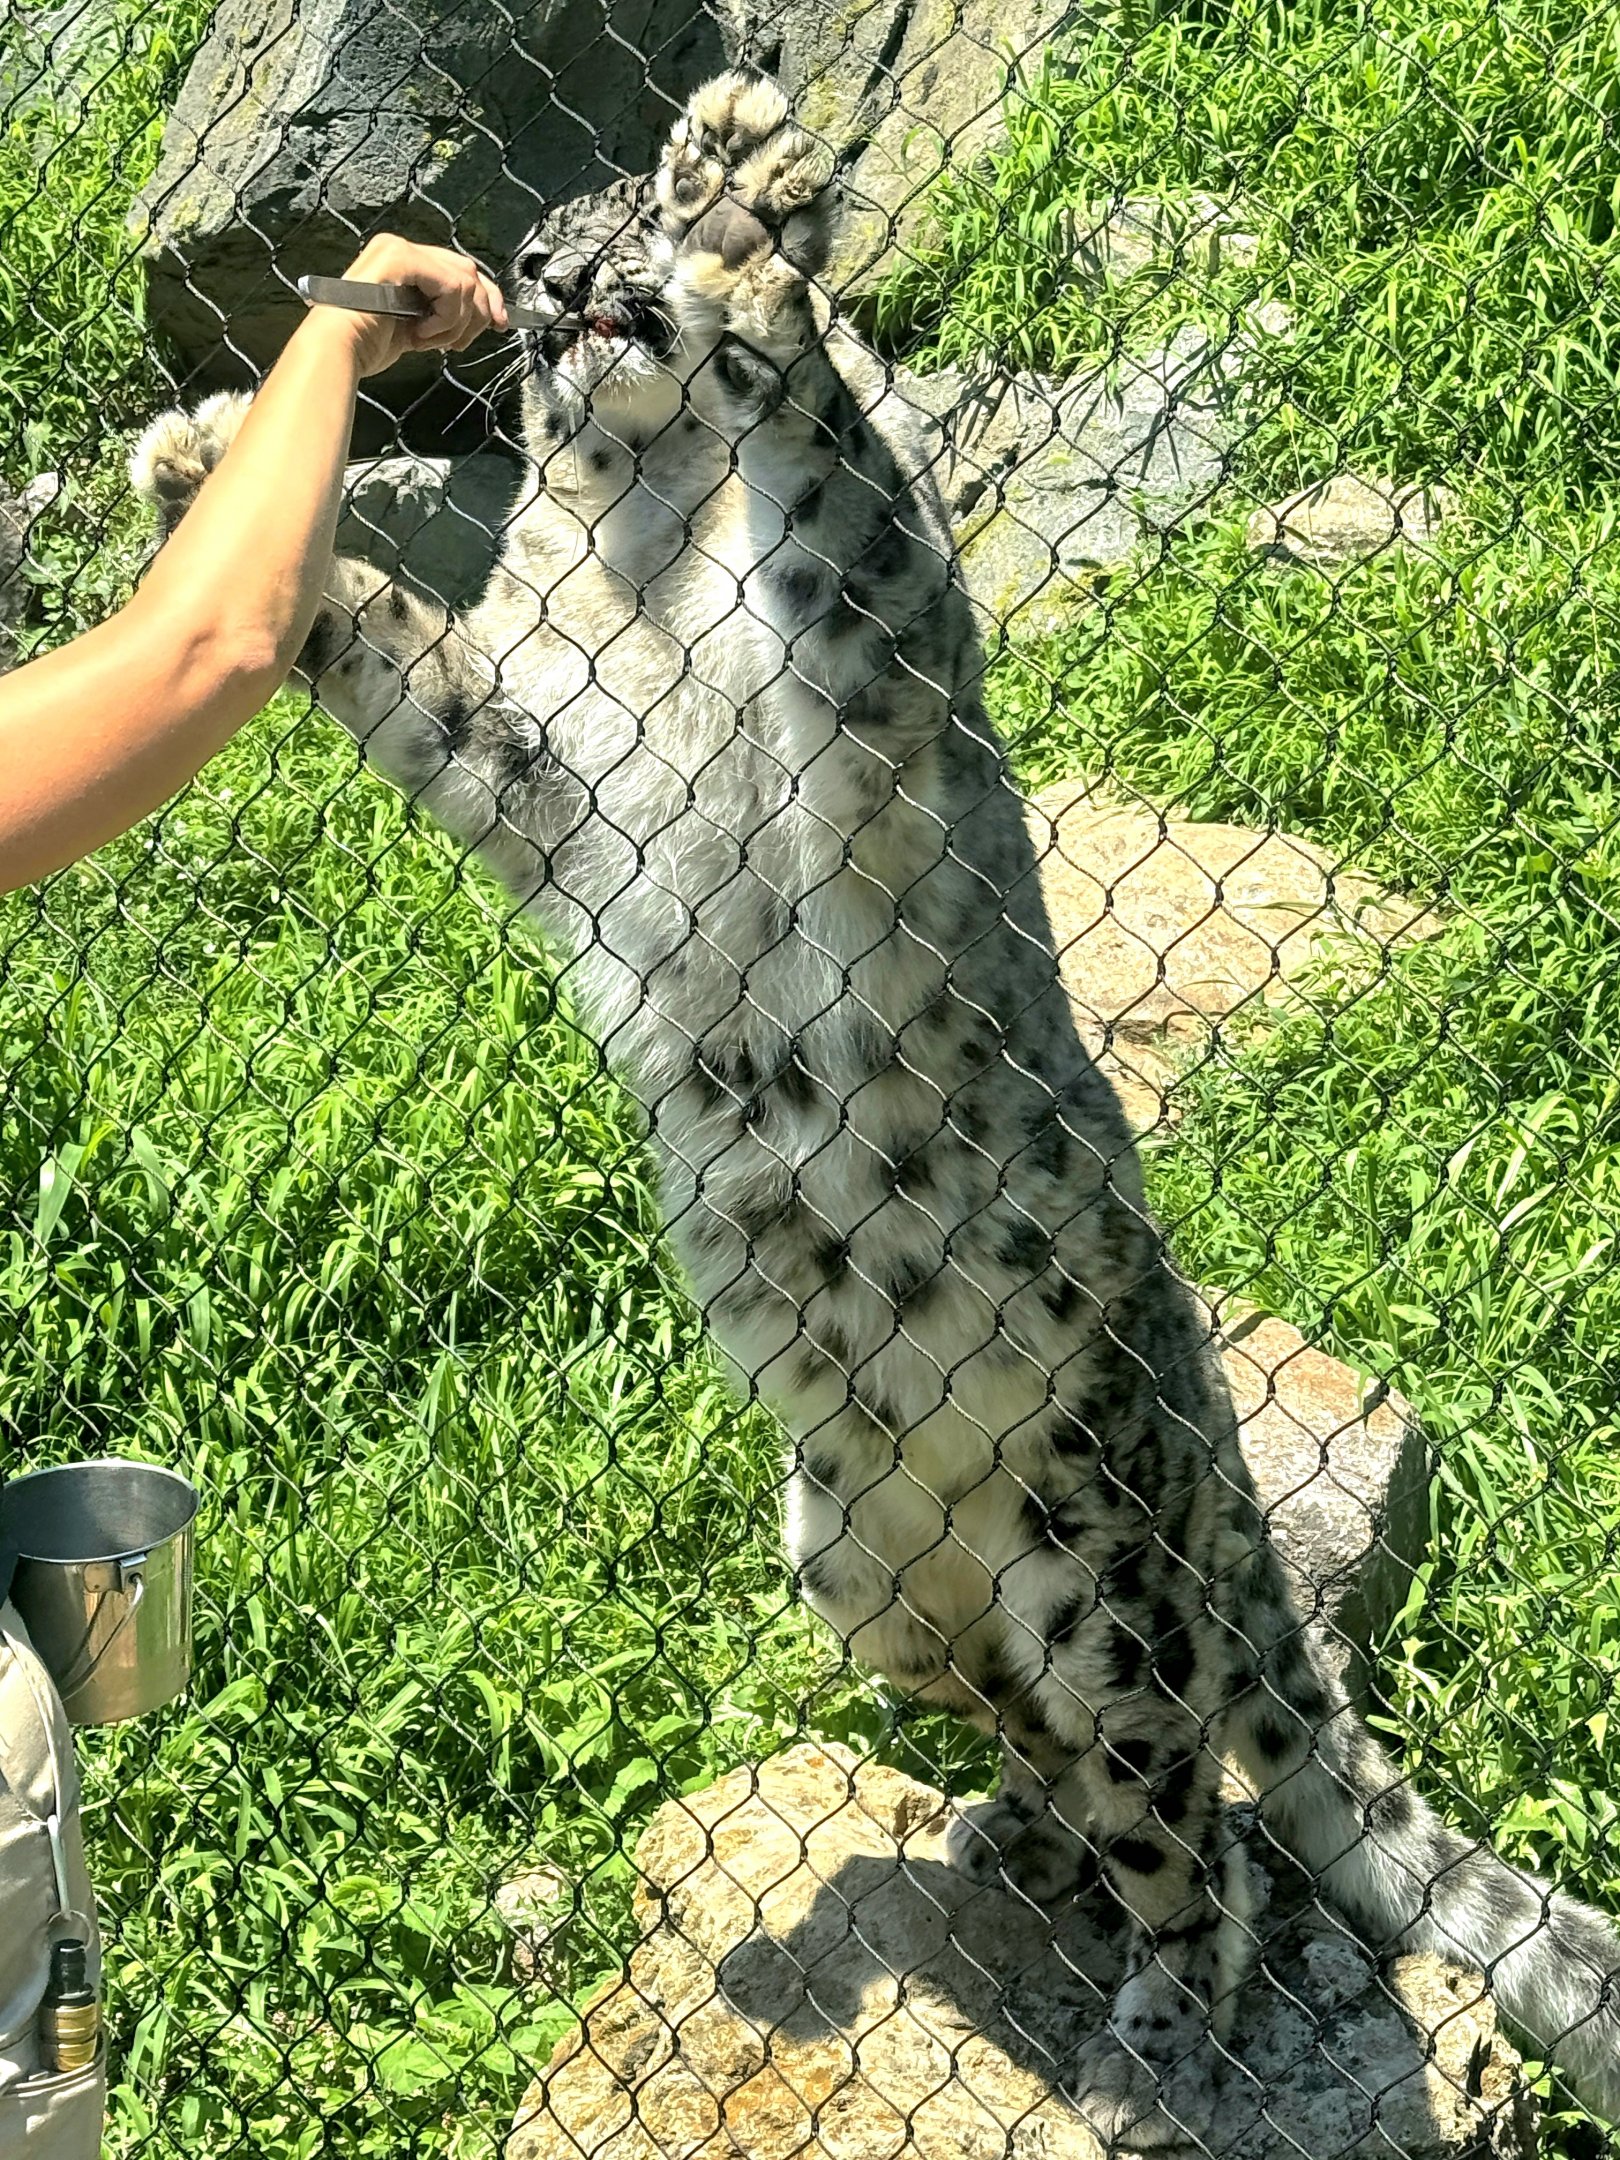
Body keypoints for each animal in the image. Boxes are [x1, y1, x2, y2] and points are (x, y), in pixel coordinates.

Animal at [133, 71, 1620, 2145]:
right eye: (538, 252)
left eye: (615, 220)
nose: (550, 276)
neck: (646, 545)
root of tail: (1204, 1449)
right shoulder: (534, 751)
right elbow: (402, 658)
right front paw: (203, 462)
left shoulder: (864, 665)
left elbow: (843, 501)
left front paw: (754, 233)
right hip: (861, 1572)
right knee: (1053, 1742)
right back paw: (1020, 1836)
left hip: (1103, 1559)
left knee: (1200, 1818)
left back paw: (1161, 2034)